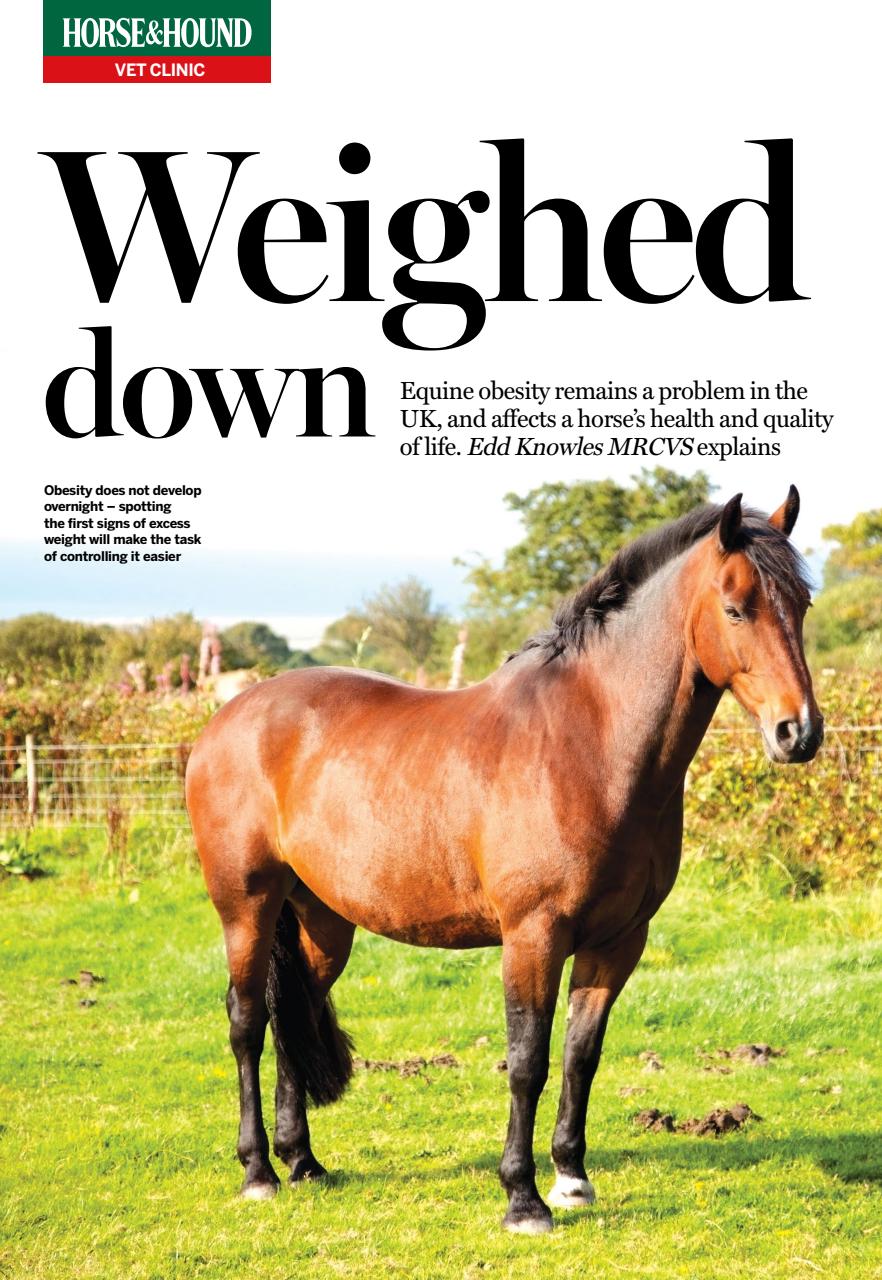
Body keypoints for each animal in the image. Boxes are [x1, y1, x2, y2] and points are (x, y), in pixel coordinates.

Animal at [185, 487, 823, 1234]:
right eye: (735, 607)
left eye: (801, 606)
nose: (798, 733)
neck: (590, 745)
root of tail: (229, 717)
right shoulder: (533, 936)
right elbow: (527, 1061)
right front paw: (523, 1199)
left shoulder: (617, 941)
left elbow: (581, 1056)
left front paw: (572, 1179)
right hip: (246, 906)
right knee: (247, 1022)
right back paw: (258, 1170)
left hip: (322, 920)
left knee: (295, 1014)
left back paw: (304, 1162)